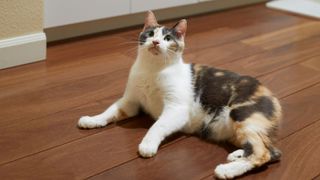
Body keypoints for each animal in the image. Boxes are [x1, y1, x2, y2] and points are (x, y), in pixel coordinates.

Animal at [79, 10, 282, 179]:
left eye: (168, 37)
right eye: (150, 34)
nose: (156, 42)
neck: (152, 70)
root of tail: (273, 97)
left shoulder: (176, 109)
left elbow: (157, 126)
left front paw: (147, 144)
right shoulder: (130, 102)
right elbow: (110, 111)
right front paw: (92, 120)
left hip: (241, 114)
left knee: (263, 153)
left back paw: (227, 170)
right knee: (271, 150)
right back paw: (237, 155)